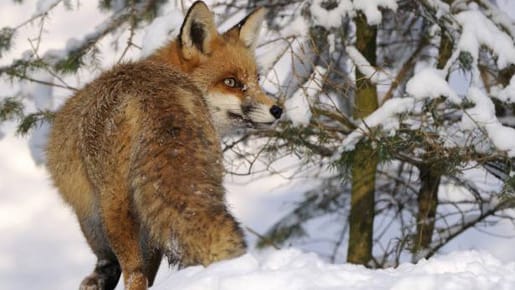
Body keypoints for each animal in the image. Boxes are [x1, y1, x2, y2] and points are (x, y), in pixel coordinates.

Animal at [46, 1, 282, 288]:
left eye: (257, 79)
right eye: (231, 82)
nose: (278, 109)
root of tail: (157, 93)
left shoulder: (88, 213)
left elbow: (109, 262)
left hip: (113, 207)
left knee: (134, 273)